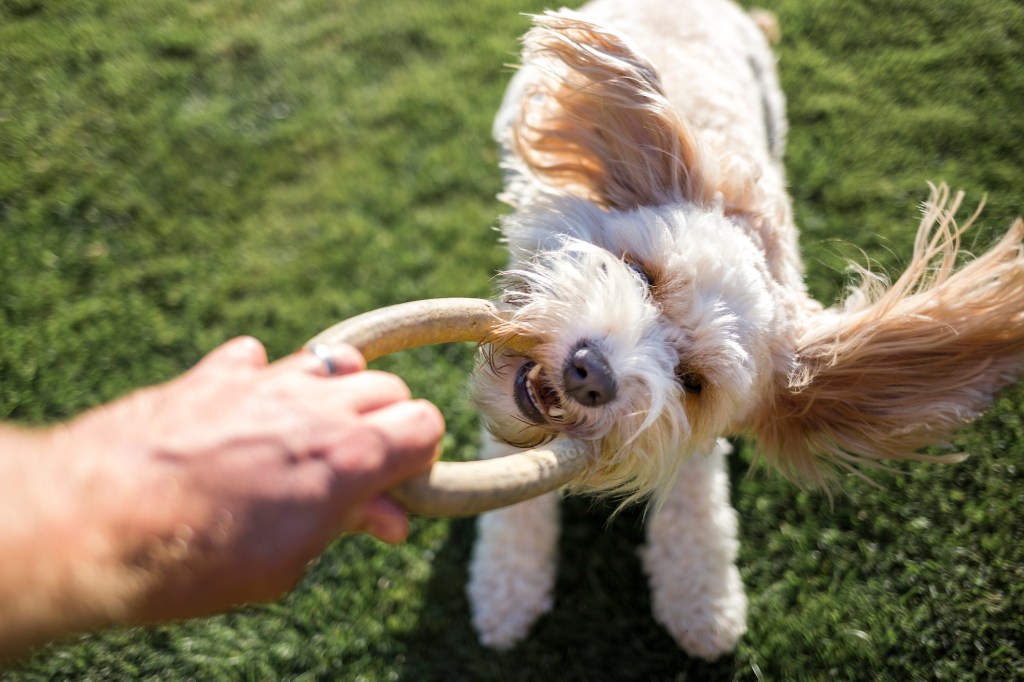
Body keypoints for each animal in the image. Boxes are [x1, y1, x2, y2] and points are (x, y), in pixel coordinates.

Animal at [466, 0, 1024, 659]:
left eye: (693, 381)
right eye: (641, 274)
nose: (590, 373)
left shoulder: (696, 443)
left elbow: (697, 514)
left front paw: (704, 603)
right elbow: (512, 500)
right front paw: (506, 590)